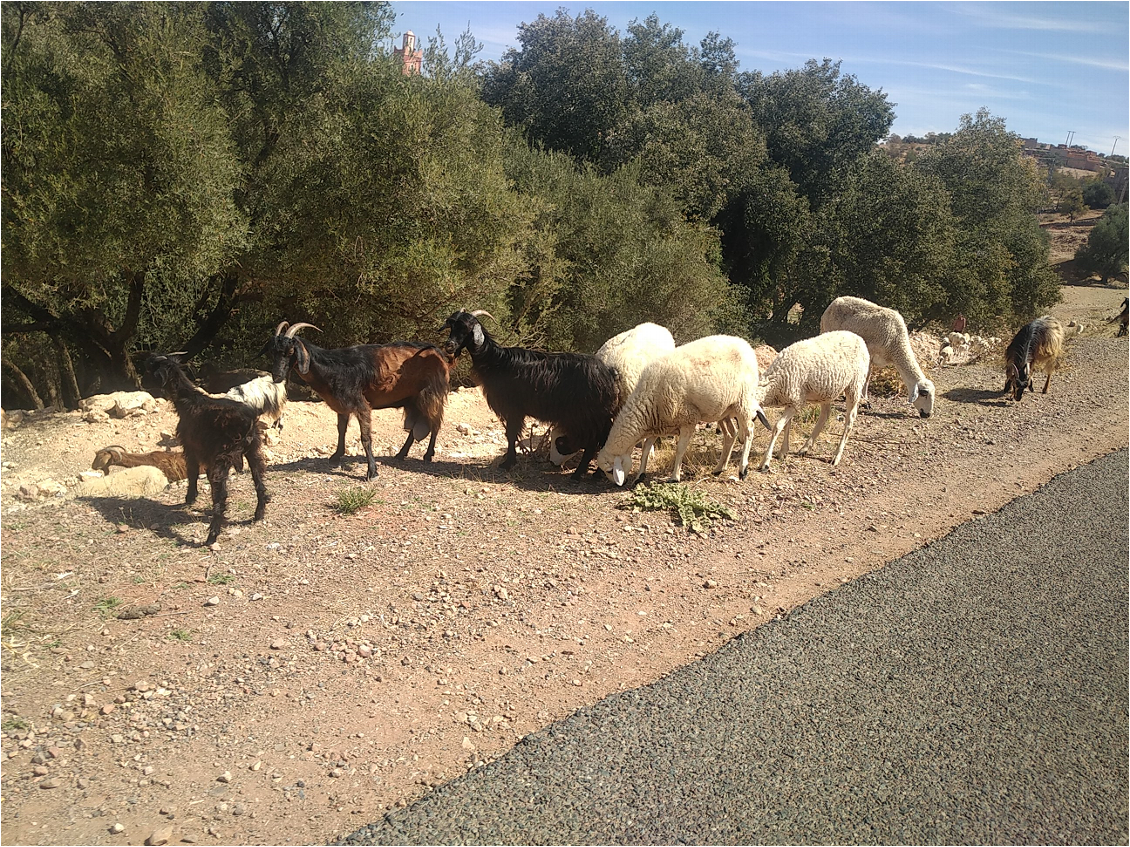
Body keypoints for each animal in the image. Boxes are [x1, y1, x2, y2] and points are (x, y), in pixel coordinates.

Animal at [145, 354, 268, 546]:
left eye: (150, 370)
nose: (142, 383)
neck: (187, 400)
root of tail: (247, 421)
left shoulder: (190, 447)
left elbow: (192, 472)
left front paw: (189, 499)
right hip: (253, 451)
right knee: (260, 482)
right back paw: (258, 515)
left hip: (223, 457)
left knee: (221, 496)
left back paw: (212, 536)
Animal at [263, 322, 449, 481]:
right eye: (273, 352)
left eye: (290, 352)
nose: (277, 376)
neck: (334, 368)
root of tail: (439, 354)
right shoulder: (342, 406)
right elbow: (341, 430)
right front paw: (336, 456)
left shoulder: (362, 405)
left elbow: (365, 437)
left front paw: (372, 472)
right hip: (413, 400)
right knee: (415, 427)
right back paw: (401, 454)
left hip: (431, 393)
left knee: (436, 422)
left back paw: (427, 455)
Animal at [440, 309, 623, 481]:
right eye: (452, 326)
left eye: (466, 328)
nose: (449, 346)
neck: (496, 361)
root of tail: (609, 373)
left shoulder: (513, 408)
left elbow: (511, 434)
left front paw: (508, 463)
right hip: (599, 417)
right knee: (604, 439)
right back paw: (597, 474)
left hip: (586, 417)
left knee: (593, 443)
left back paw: (578, 475)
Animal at [596, 334, 772, 487]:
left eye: (611, 470)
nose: (617, 484)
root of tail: (744, 344)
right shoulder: (657, 424)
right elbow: (645, 449)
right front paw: (640, 475)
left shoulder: (688, 419)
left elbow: (680, 449)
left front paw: (674, 477)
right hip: (725, 409)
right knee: (731, 434)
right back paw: (719, 468)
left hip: (743, 401)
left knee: (749, 432)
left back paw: (743, 470)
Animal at [754, 329, 867, 472]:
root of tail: (857, 337)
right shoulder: (792, 400)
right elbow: (787, 426)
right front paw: (783, 452)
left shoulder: (796, 401)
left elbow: (777, 427)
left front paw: (765, 462)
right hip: (827, 391)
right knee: (825, 415)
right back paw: (805, 448)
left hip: (855, 385)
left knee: (850, 420)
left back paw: (836, 456)